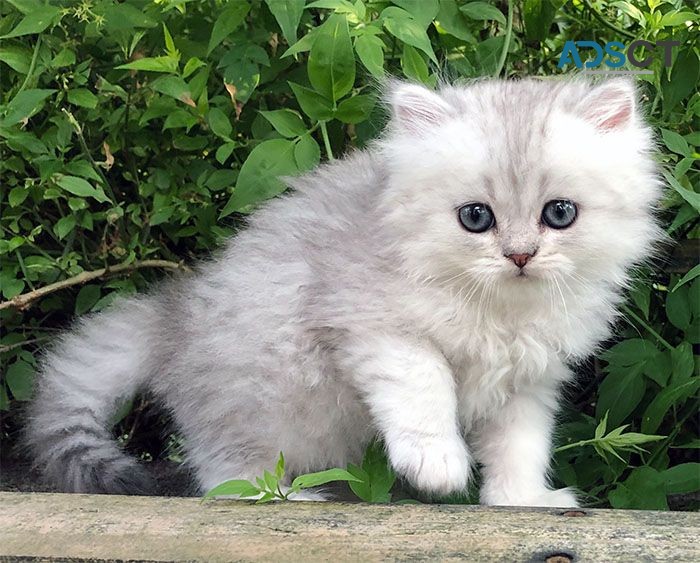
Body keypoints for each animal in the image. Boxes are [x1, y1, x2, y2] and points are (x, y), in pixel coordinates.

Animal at [26, 77, 660, 504]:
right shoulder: (371, 325)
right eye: (476, 218)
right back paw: (285, 498)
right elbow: (427, 387)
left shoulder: (527, 384)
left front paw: (523, 503)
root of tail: (173, 312)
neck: (502, 313)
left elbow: (520, 449)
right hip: (265, 399)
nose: (521, 256)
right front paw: (437, 464)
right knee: (224, 472)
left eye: (560, 214)